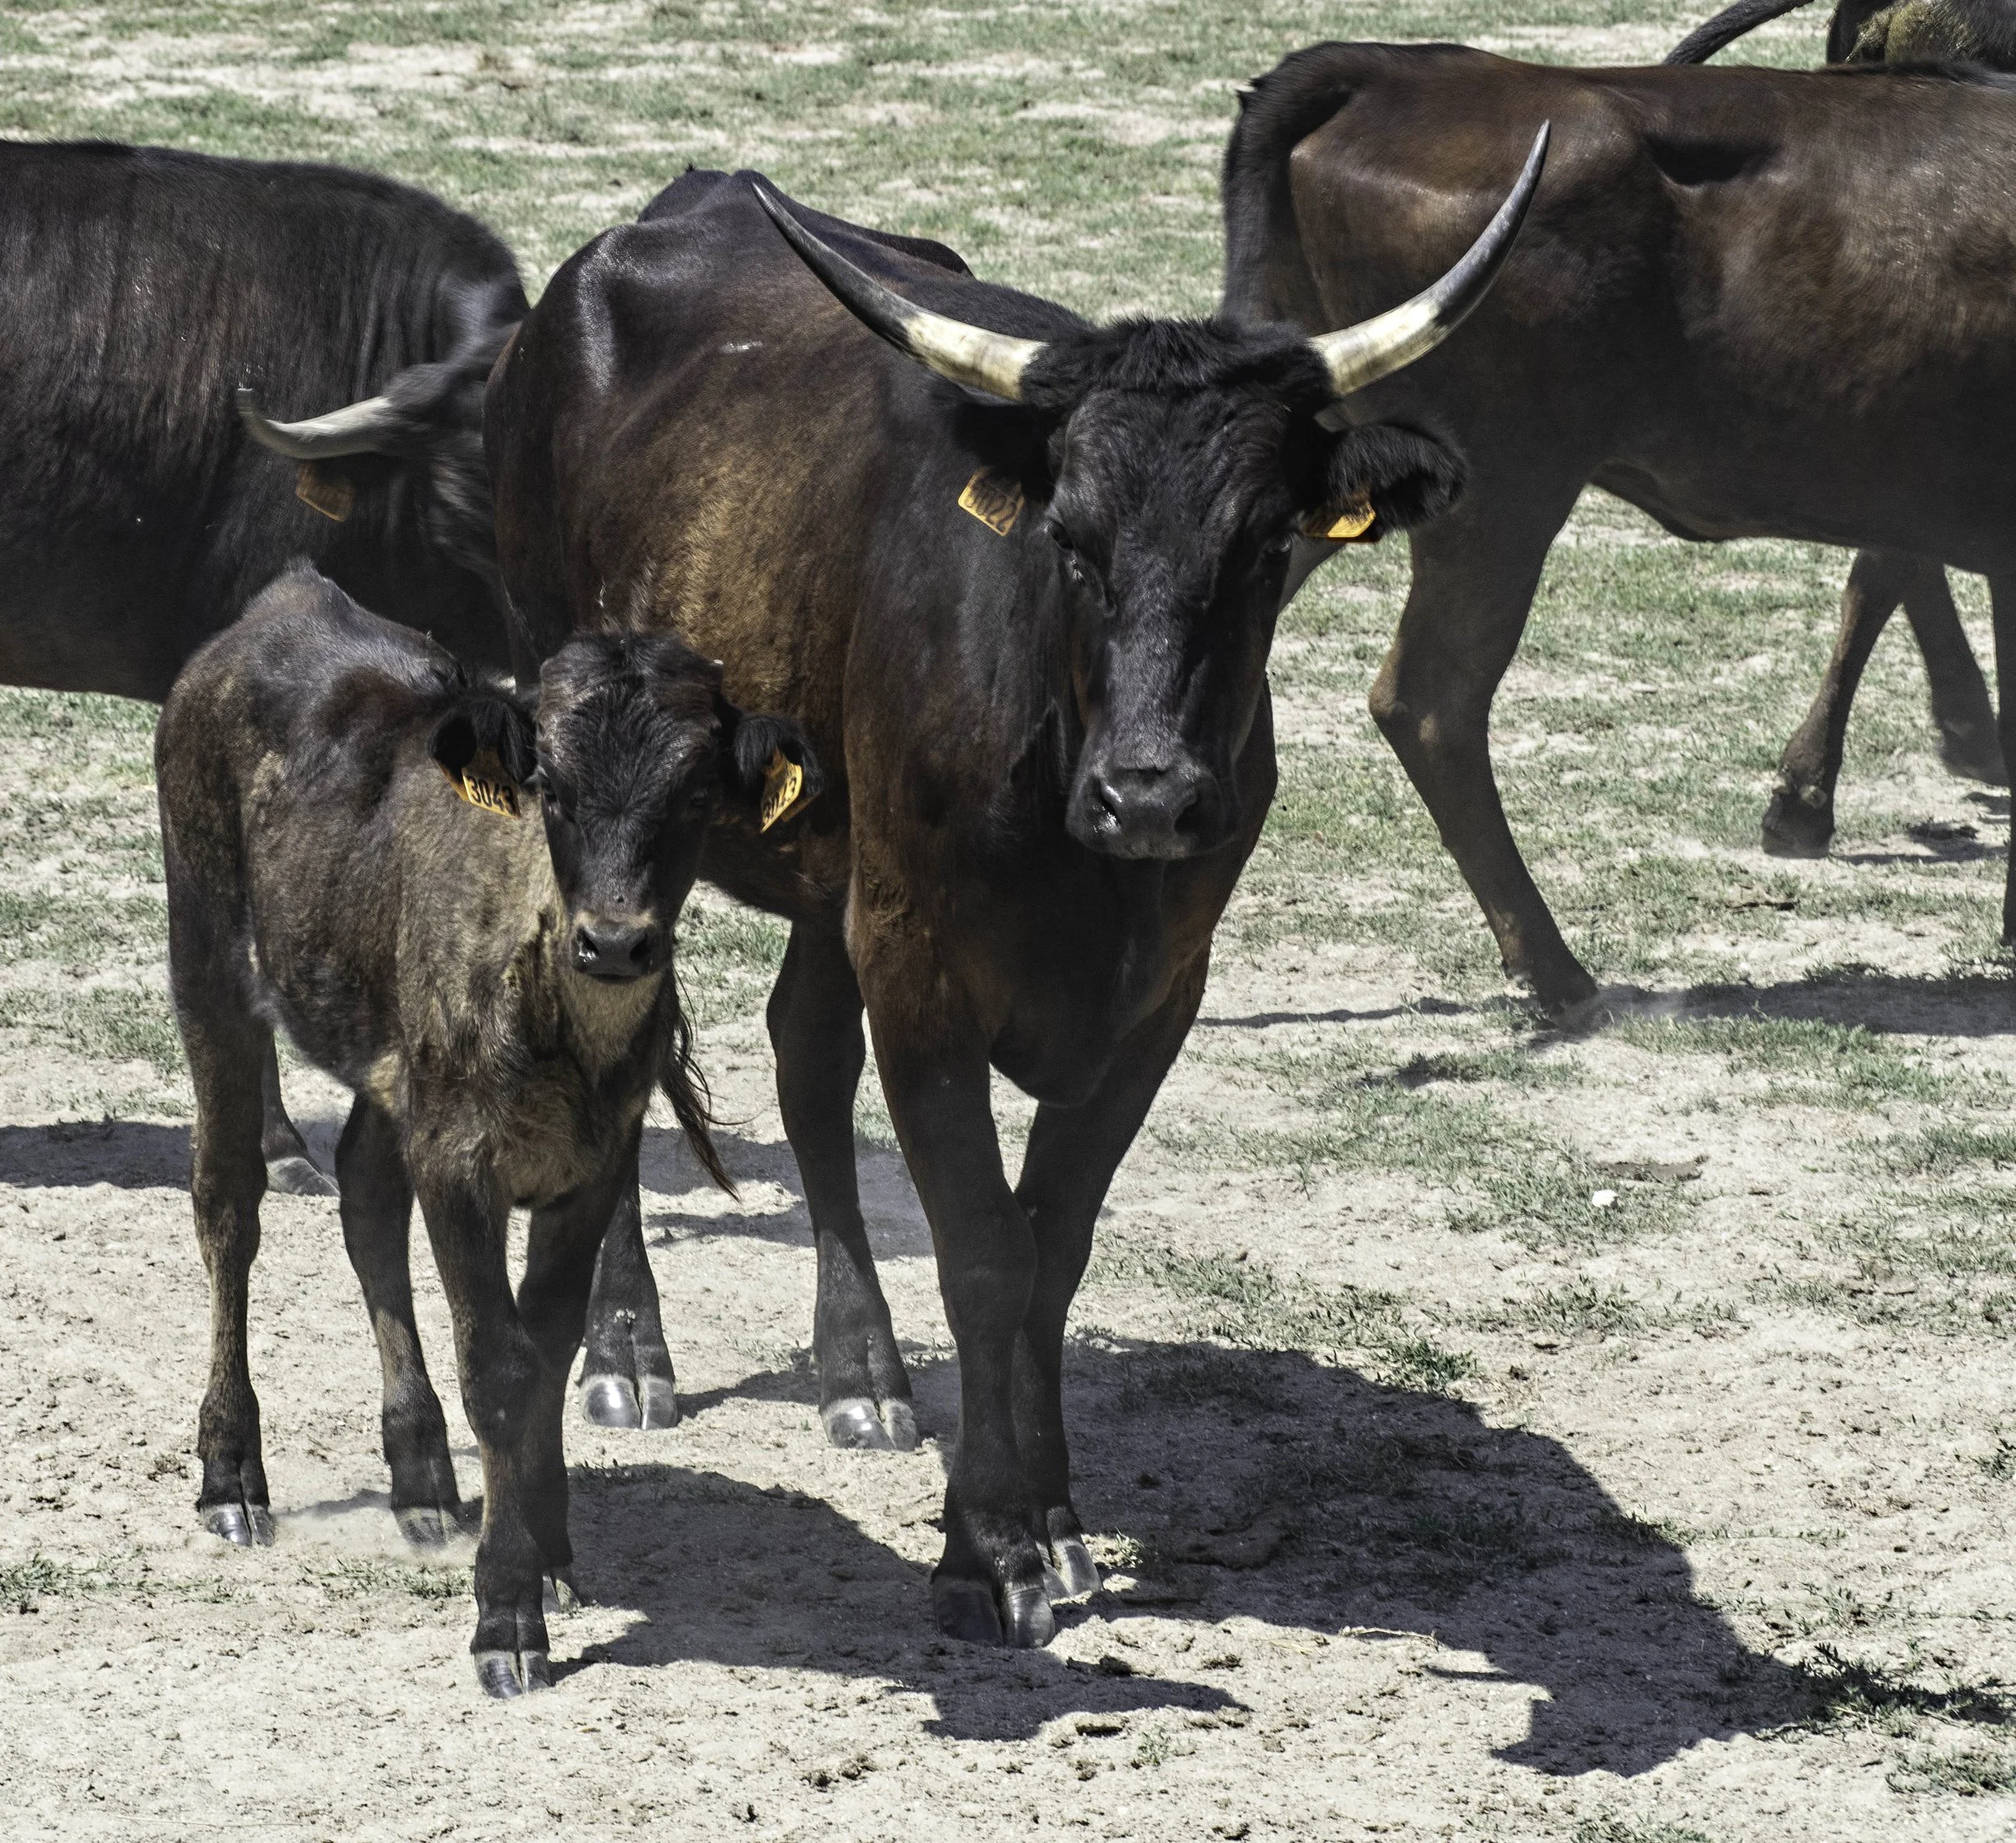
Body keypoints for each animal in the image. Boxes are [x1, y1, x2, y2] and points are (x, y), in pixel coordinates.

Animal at [156, 561, 815, 1696]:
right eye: (550, 787)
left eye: (693, 796)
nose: (616, 942)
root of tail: (284, 599)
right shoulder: (460, 1162)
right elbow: (500, 1366)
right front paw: (506, 1610)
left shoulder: (592, 1167)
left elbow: (548, 1352)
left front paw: (546, 1547)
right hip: (206, 957)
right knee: (227, 1204)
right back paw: (232, 1475)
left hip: (391, 1061)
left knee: (366, 1199)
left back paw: (420, 1473)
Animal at [480, 154, 1543, 1645]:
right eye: (1074, 538)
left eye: (1266, 545)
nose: (1151, 796)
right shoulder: (924, 968)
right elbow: (985, 1249)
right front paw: (988, 1552)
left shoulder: (1155, 1000)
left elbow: (1054, 1247)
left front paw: (1052, 1516)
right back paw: (627, 1349)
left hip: (836, 873)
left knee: (807, 1059)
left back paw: (860, 1368)